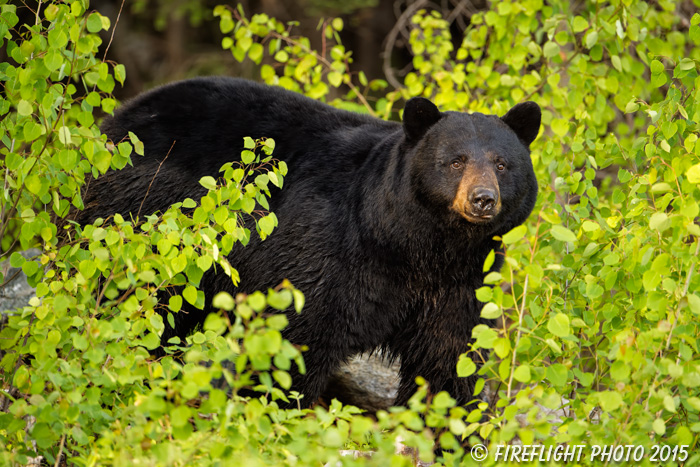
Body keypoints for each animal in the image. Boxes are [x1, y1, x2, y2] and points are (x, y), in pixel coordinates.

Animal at [78, 77, 540, 410]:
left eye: (502, 163)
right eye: (455, 161)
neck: (418, 245)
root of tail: (120, 116)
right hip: (139, 218)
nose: (483, 199)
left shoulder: (461, 282)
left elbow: (447, 360)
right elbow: (295, 339)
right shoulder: (329, 251)